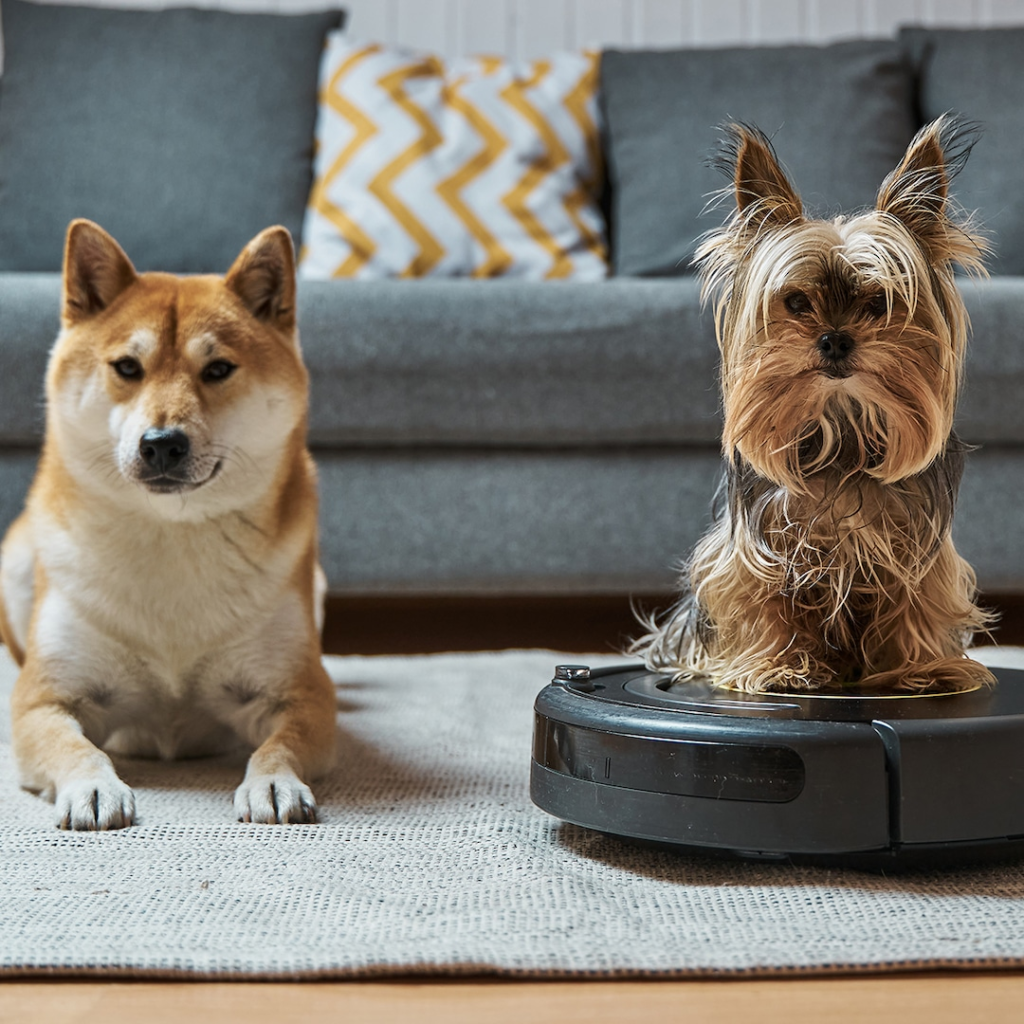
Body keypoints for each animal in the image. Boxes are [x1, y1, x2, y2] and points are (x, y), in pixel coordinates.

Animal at [0, 220, 335, 827]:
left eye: (218, 369)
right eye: (128, 368)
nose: (161, 444)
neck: (170, 535)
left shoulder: (301, 693)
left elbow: (280, 744)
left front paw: (274, 781)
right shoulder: (45, 698)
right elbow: (75, 746)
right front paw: (93, 786)